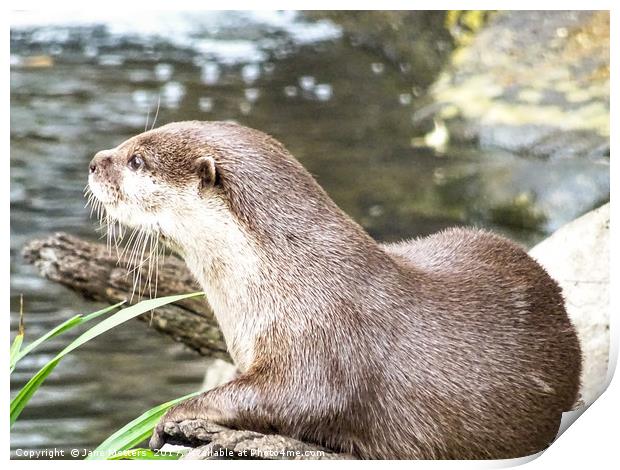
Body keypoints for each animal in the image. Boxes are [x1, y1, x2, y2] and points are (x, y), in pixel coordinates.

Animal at [86, 120, 580, 458]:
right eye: (131, 143)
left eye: (136, 160)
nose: (93, 162)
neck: (286, 277)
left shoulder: (319, 342)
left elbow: (294, 398)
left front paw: (172, 416)